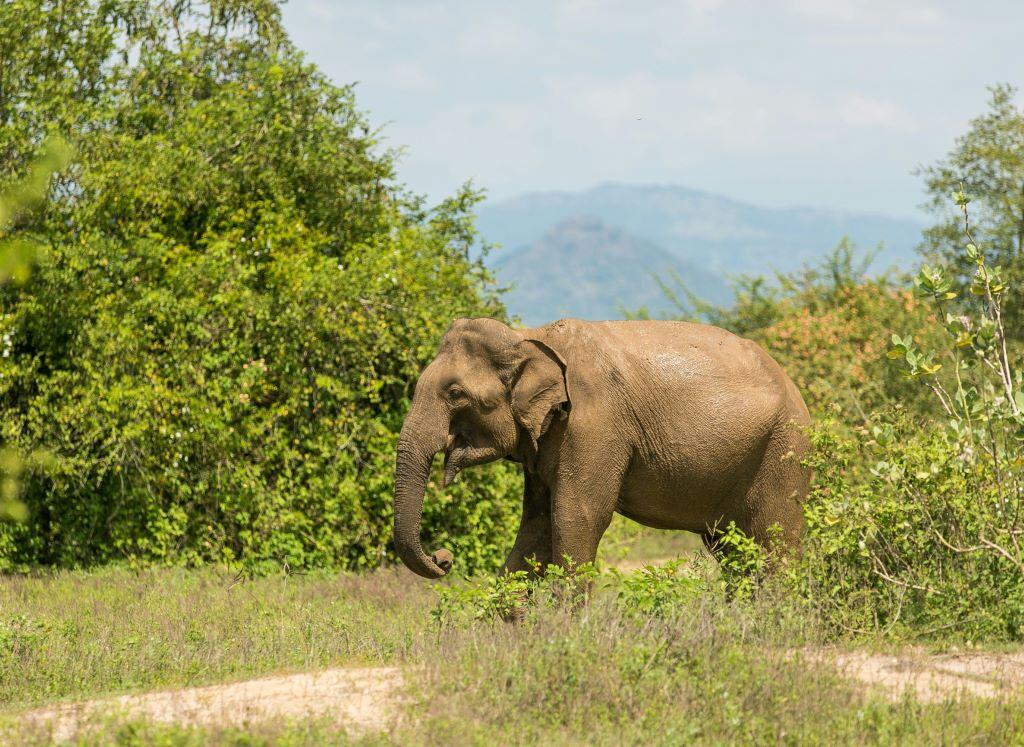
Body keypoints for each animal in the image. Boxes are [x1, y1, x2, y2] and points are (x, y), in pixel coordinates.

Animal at [392, 317, 811, 579]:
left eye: (455, 394)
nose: (443, 558)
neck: (528, 337)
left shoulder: (593, 424)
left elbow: (576, 516)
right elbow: (535, 527)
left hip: (783, 452)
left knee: (775, 541)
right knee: (731, 548)